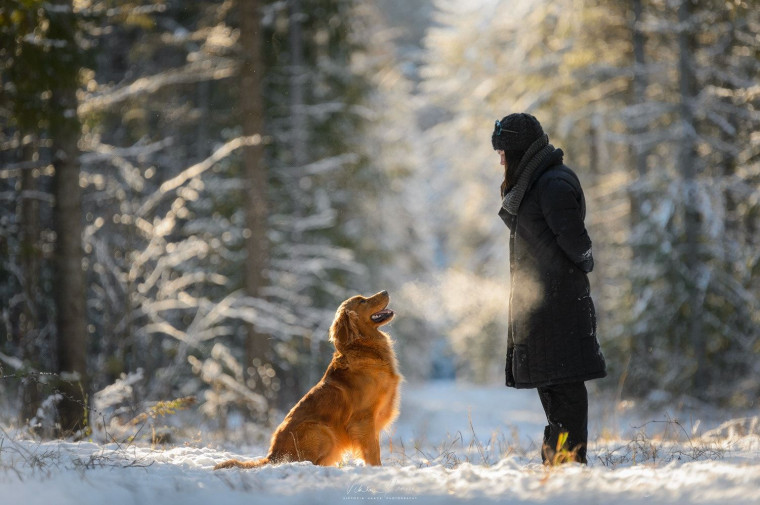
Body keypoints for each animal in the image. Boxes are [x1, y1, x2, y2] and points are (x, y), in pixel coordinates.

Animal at [214, 292, 400, 468]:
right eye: (362, 301)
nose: (385, 291)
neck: (362, 347)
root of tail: (272, 456)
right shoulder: (363, 419)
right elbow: (373, 452)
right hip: (320, 430)